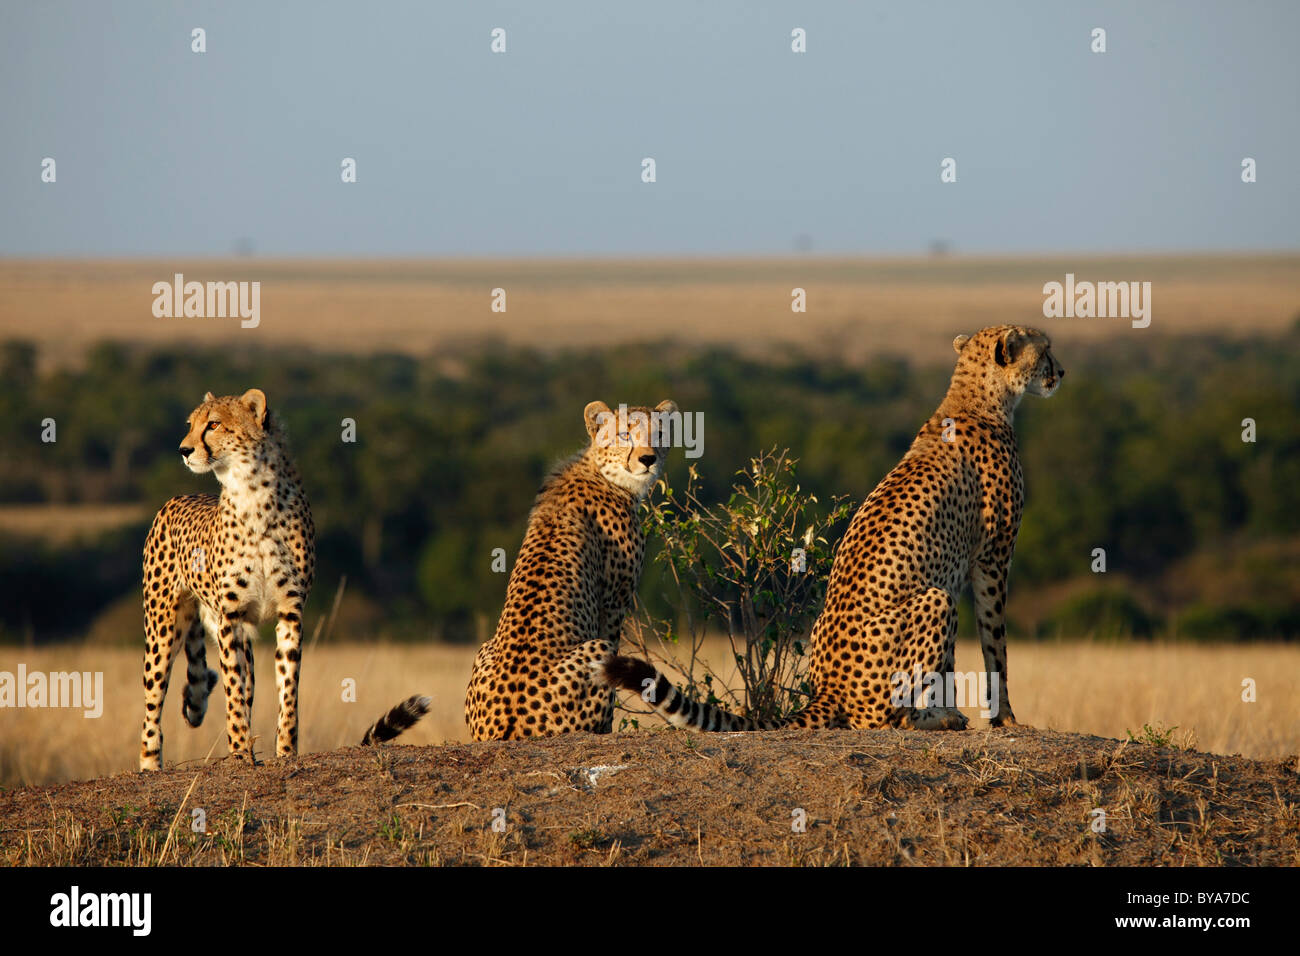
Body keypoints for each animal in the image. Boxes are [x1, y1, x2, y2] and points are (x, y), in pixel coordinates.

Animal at [462, 395, 676, 738]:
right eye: (624, 435)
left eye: (658, 435)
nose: (648, 459)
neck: (604, 473)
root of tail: (505, 728)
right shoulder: (613, 603)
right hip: (598, 648)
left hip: (484, 647)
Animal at [603, 327, 1060, 733]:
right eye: (1046, 349)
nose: (1062, 372)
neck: (976, 397)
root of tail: (827, 691)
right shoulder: (993, 559)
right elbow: (995, 646)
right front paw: (1003, 718)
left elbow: (949, 667)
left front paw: (958, 710)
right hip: (934, 601)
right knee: (877, 719)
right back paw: (929, 720)